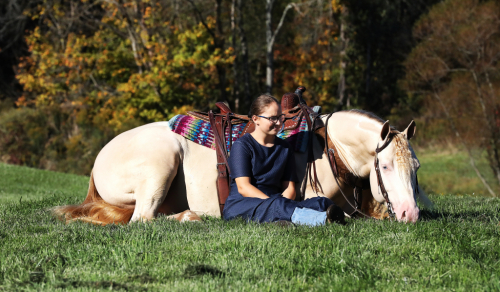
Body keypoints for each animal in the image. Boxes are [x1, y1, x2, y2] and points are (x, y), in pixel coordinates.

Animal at [52, 108, 432, 225]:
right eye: (384, 166)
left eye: (415, 167)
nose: (410, 214)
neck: (330, 150)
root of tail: (98, 160)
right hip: (161, 165)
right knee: (143, 219)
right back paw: (191, 217)